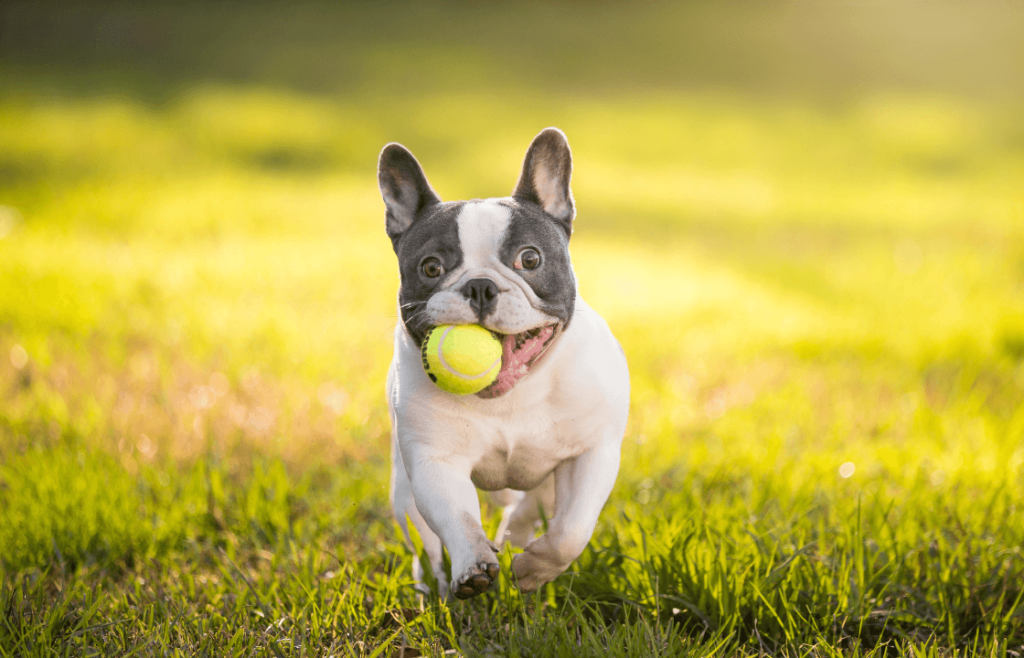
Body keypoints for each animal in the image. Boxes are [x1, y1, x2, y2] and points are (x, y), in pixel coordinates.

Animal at [380, 128, 626, 601]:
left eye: (530, 259)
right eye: (431, 267)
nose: (480, 286)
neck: (513, 394)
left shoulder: (591, 453)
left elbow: (572, 529)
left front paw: (533, 569)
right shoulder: (435, 462)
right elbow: (458, 518)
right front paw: (472, 566)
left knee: (531, 508)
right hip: (403, 492)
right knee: (425, 543)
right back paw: (434, 586)